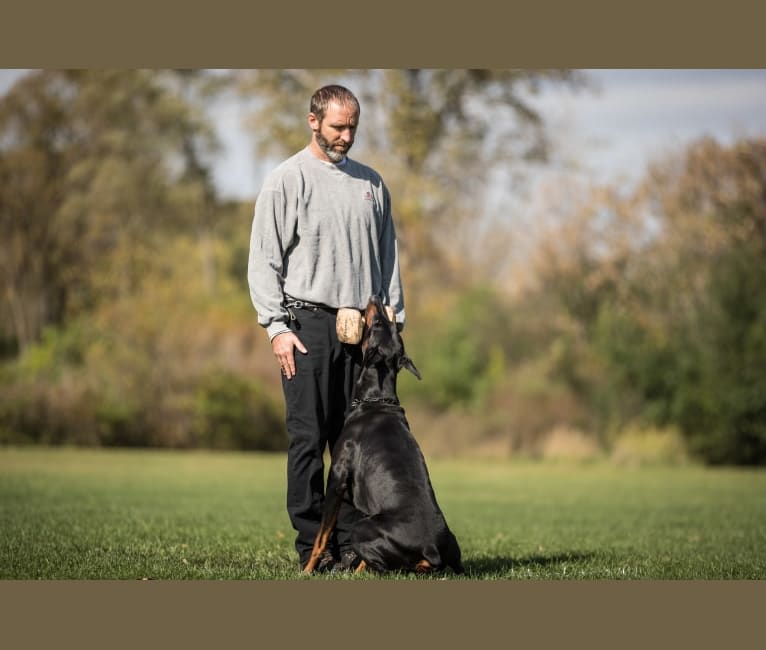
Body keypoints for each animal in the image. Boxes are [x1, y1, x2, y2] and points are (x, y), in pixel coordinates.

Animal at [304, 294, 462, 572]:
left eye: (377, 323)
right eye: (388, 325)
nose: (376, 296)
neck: (376, 399)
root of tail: (431, 549)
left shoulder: (336, 477)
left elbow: (321, 537)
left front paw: (307, 570)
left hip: (362, 527)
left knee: (379, 564)